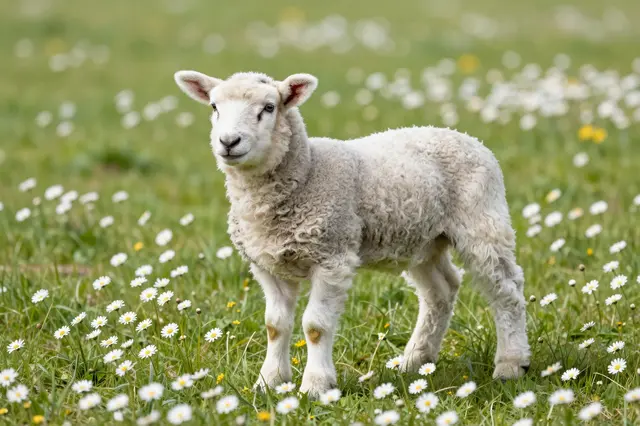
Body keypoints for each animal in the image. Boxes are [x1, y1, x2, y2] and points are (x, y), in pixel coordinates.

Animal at [174, 70, 531, 397]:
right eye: (214, 107)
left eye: (269, 107)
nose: (228, 142)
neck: (308, 171)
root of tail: (462, 135)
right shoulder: (267, 265)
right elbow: (275, 326)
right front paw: (269, 382)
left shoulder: (332, 257)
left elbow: (315, 326)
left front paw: (315, 386)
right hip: (424, 241)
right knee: (440, 291)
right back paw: (415, 359)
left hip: (482, 222)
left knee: (507, 289)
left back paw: (511, 364)